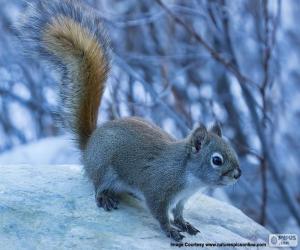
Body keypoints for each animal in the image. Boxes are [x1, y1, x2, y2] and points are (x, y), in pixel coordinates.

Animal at [18, 0, 241, 242]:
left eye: (232, 150)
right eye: (216, 160)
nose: (238, 174)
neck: (188, 175)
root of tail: (89, 147)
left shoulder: (181, 199)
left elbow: (179, 212)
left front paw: (183, 223)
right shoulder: (158, 189)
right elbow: (160, 214)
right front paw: (170, 230)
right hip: (103, 166)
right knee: (97, 185)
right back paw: (104, 197)